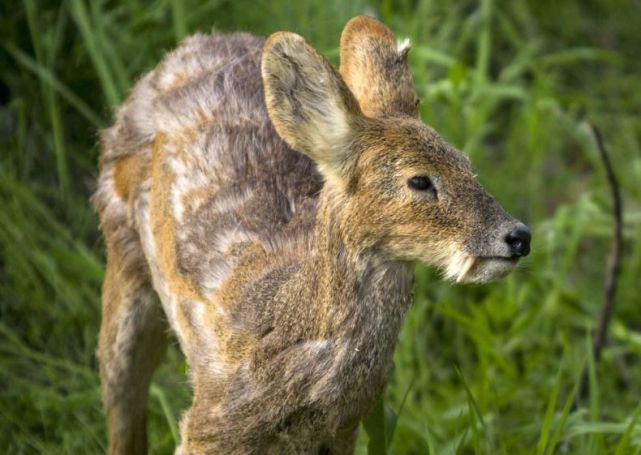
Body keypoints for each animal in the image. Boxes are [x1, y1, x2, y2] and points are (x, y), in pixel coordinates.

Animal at [90, 16, 528, 454]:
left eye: (466, 163)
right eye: (419, 180)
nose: (518, 235)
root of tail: (191, 45)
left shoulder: (343, 431)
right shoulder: (208, 426)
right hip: (122, 253)